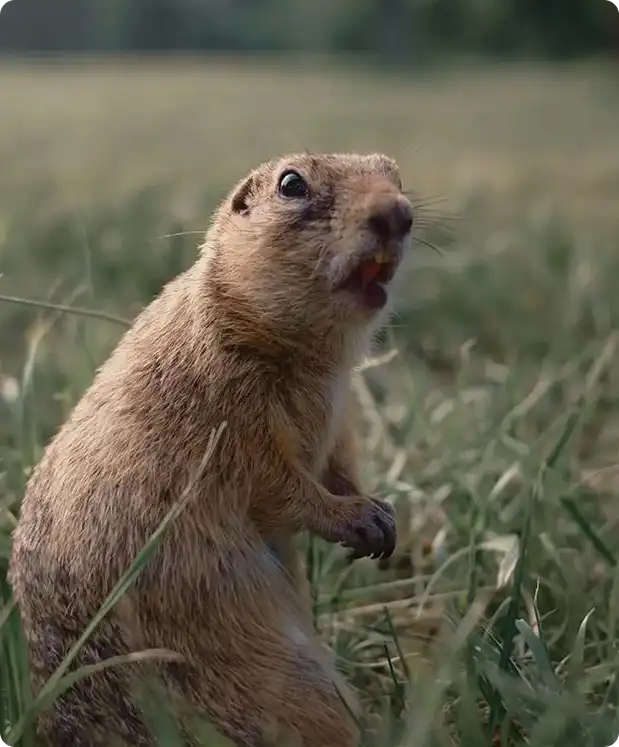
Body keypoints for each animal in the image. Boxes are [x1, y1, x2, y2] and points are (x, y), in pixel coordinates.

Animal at [8, 152, 414, 747]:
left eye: (394, 171)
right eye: (292, 184)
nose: (398, 213)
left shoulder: (338, 420)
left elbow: (338, 463)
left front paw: (381, 513)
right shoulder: (231, 413)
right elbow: (277, 484)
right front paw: (355, 516)